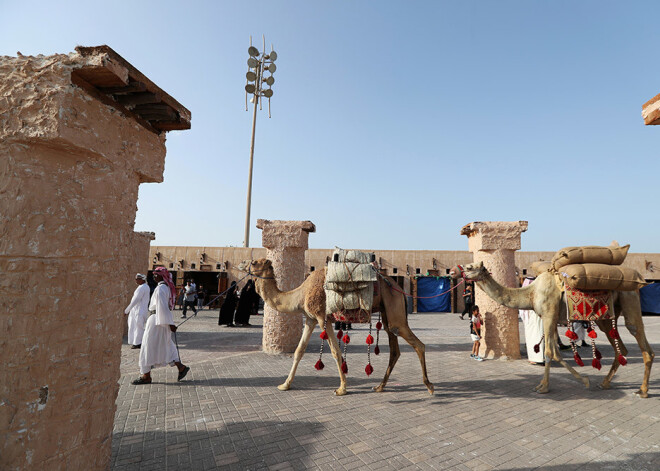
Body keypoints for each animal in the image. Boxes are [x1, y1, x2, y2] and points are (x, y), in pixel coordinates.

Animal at [237, 260, 434, 396]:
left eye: (254, 263)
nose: (241, 264)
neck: (301, 294)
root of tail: (398, 287)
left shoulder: (322, 317)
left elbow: (334, 351)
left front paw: (342, 389)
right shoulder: (310, 319)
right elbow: (299, 350)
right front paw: (285, 384)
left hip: (395, 311)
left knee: (418, 344)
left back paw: (429, 386)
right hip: (387, 313)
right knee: (394, 349)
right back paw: (379, 386)